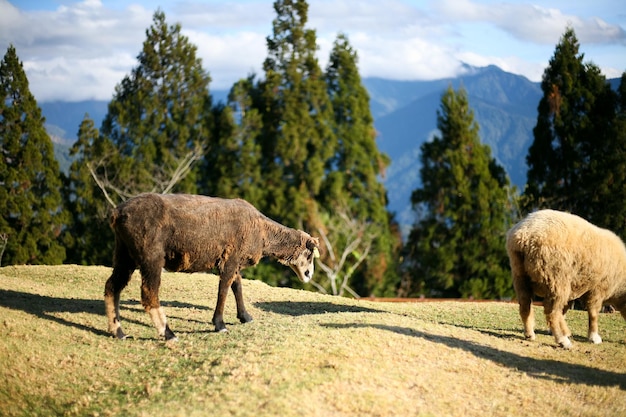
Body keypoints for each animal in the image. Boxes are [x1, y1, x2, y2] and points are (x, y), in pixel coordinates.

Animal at [105, 192, 320, 338]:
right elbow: (224, 289)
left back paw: (119, 332)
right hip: (150, 254)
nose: (309, 275)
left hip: (124, 252)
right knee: (149, 293)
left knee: (112, 287)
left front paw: (245, 316)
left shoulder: (235, 259)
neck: (263, 232)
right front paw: (219, 324)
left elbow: (237, 286)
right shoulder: (230, 257)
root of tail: (117, 213)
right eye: (309, 253)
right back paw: (168, 334)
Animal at [504, 208, 620, 348]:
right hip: (556, 278)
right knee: (551, 312)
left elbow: (565, 309)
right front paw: (594, 337)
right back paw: (562, 340)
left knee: (525, 305)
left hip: (520, 275)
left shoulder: (574, 289)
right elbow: (593, 313)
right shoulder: (597, 288)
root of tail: (524, 236)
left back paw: (530, 334)